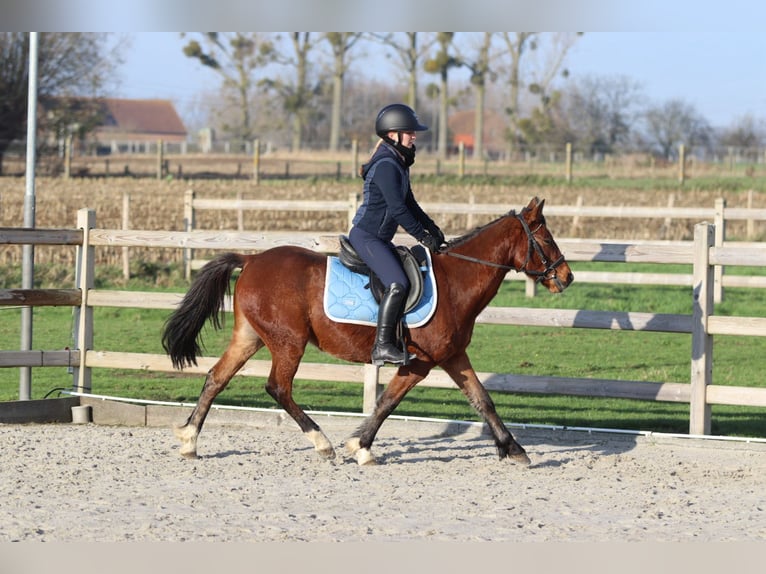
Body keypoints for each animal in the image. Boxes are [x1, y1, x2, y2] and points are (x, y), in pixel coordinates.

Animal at [162, 197, 573, 465]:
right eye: (546, 239)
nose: (567, 277)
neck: (457, 279)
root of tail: (251, 259)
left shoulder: (453, 356)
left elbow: (482, 399)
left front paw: (514, 449)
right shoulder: (420, 362)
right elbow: (388, 401)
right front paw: (359, 447)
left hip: (249, 337)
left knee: (217, 377)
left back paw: (189, 440)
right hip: (288, 342)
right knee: (278, 387)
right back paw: (321, 443)